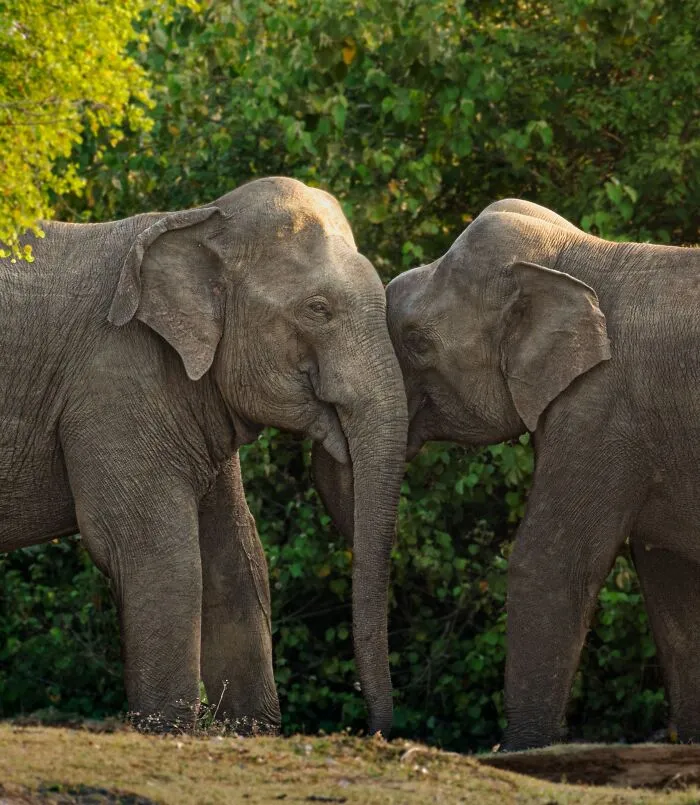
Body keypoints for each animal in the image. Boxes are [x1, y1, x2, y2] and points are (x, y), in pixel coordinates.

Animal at [0, 177, 407, 735]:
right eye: (317, 309)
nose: (377, 731)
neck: (197, 220)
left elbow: (238, 560)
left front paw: (251, 732)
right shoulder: (115, 383)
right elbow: (155, 553)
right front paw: (167, 729)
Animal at [313, 197, 700, 751]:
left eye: (417, 343)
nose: (377, 733)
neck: (579, 257)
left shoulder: (602, 409)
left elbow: (547, 562)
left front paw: (520, 749)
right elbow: (671, 582)